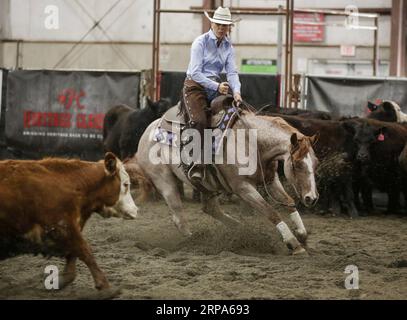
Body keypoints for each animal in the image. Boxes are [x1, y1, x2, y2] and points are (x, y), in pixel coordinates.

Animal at [0, 152, 139, 290]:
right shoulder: (61, 226)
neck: (73, 186)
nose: (135, 210)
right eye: (125, 184)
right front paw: (105, 286)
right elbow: (84, 250)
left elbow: (74, 253)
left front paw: (63, 279)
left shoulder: (69, 227)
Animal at [135, 98, 320, 255]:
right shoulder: (242, 188)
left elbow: (289, 202)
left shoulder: (271, 180)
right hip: (165, 181)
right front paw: (293, 244)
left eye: (316, 163)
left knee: (210, 209)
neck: (251, 141)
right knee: (179, 216)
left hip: (205, 185)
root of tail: (150, 128)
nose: (312, 198)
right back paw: (195, 241)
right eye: (297, 164)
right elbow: (271, 212)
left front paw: (302, 235)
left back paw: (240, 229)